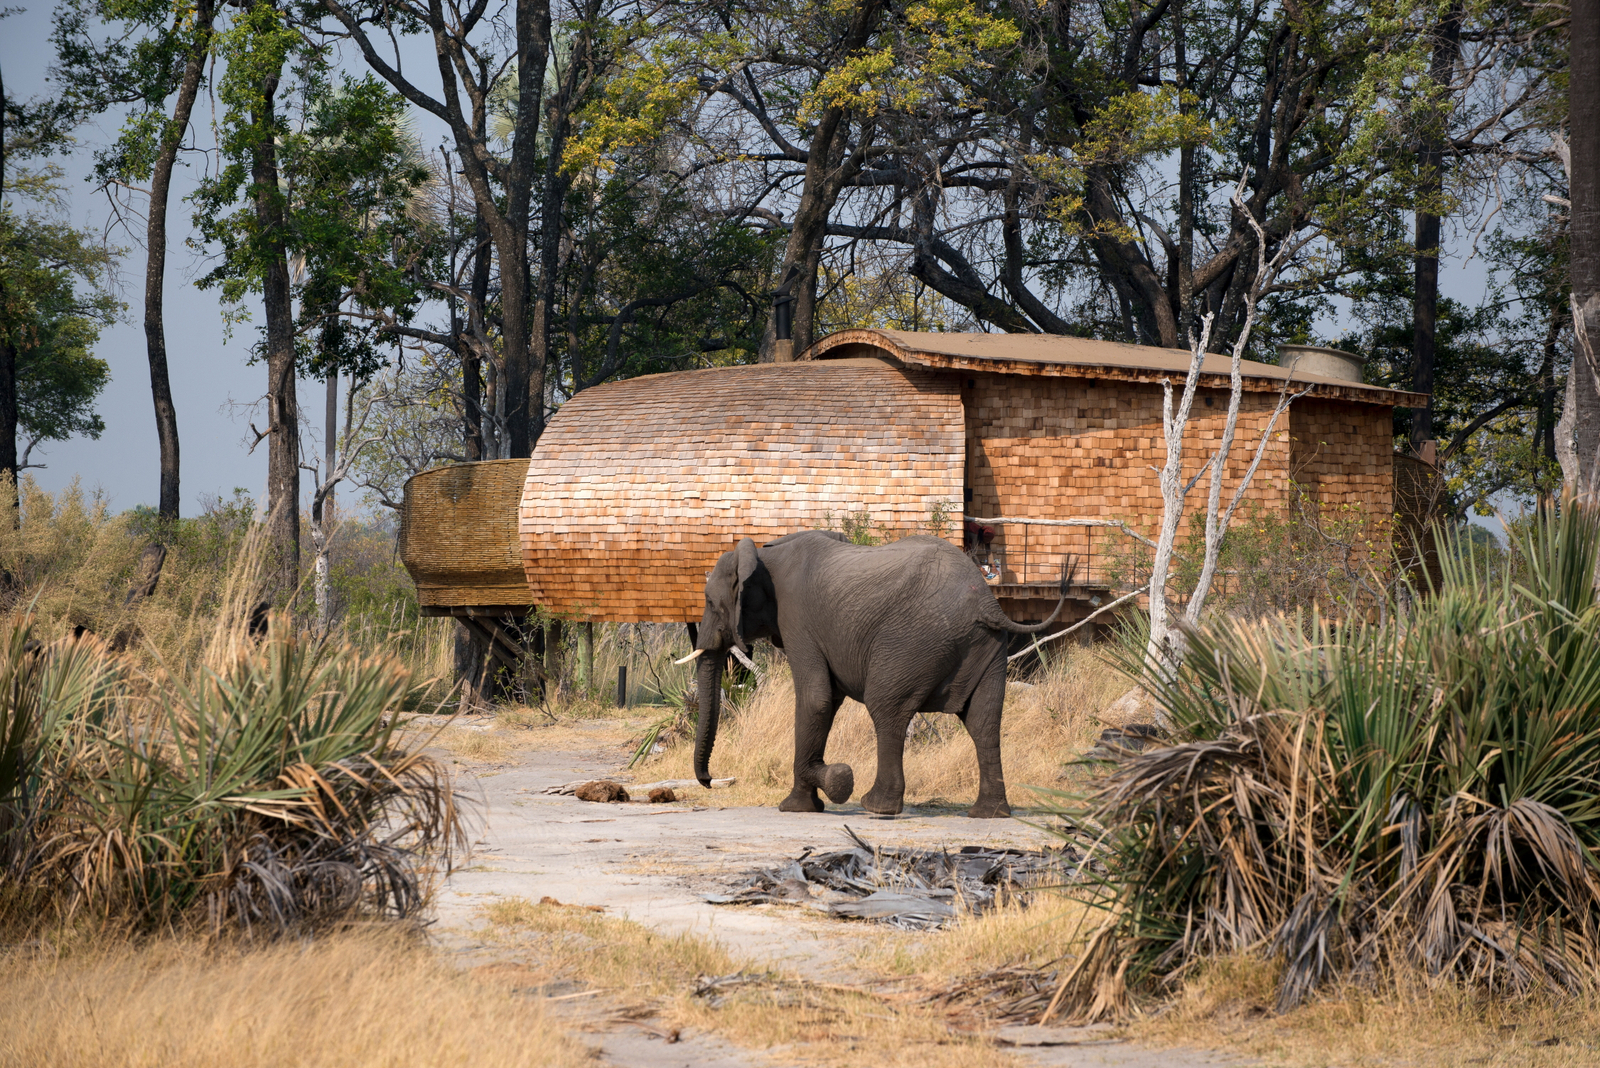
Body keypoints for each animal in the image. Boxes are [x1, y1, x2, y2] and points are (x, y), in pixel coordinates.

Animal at [681, 530, 1072, 818]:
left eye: (711, 602)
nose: (710, 780)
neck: (764, 554)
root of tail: (987, 603)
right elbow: (827, 699)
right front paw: (814, 799)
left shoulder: (798, 620)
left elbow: (816, 698)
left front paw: (812, 797)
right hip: (988, 648)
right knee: (984, 721)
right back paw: (987, 814)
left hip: (914, 641)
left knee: (886, 707)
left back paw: (877, 806)